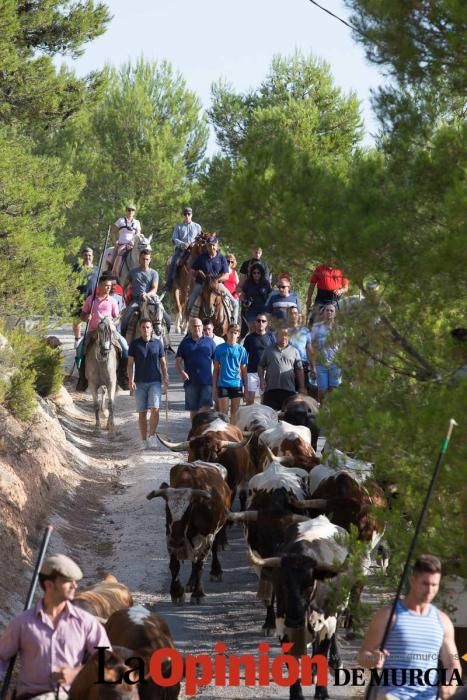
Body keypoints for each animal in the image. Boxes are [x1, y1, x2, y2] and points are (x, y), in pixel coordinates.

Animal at [147, 462, 231, 604]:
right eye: (167, 509)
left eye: (189, 509)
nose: (177, 540)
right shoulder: (169, 536)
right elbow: (174, 565)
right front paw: (176, 592)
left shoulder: (207, 536)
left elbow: (199, 564)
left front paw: (198, 593)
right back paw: (191, 583)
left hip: (217, 529)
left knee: (213, 549)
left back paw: (215, 571)